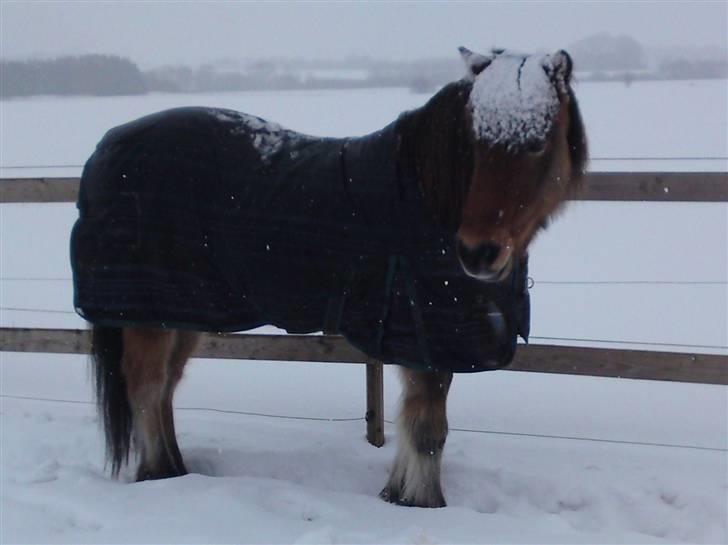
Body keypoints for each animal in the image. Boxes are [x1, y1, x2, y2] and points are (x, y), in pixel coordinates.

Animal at [71, 46, 584, 506]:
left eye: (537, 144)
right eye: (473, 144)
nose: (477, 253)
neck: (425, 199)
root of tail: (102, 152)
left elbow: (416, 419)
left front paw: (397, 492)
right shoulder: (426, 336)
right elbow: (428, 428)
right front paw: (422, 501)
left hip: (176, 315)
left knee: (164, 390)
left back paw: (176, 472)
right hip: (146, 315)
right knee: (146, 387)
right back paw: (159, 475)